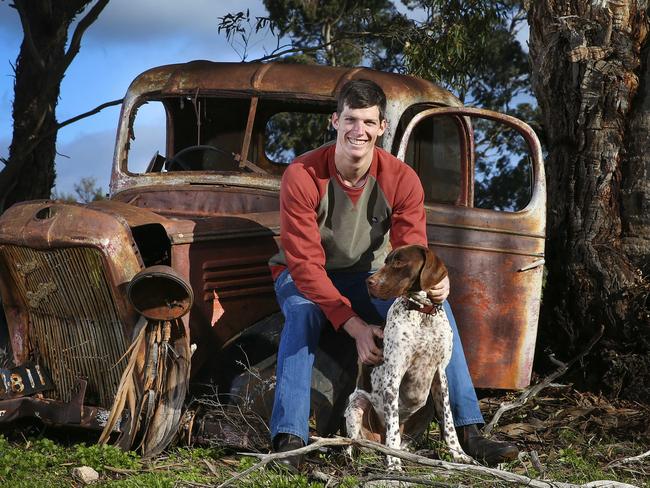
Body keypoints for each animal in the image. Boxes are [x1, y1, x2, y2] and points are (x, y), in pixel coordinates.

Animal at [344, 244, 470, 468]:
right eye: (386, 261)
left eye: (399, 262)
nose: (369, 282)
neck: (422, 313)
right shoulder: (393, 376)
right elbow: (393, 427)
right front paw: (394, 463)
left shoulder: (440, 374)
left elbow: (449, 422)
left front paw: (459, 454)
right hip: (356, 404)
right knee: (353, 442)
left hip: (427, 405)